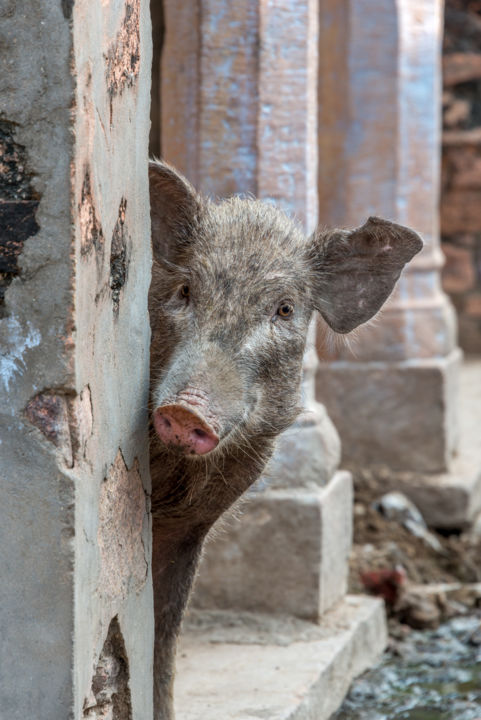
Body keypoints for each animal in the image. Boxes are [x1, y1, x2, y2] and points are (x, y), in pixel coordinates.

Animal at [147, 160, 420, 716]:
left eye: (286, 310)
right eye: (184, 291)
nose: (185, 410)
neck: (177, 481)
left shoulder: (193, 526)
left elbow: (164, 640)